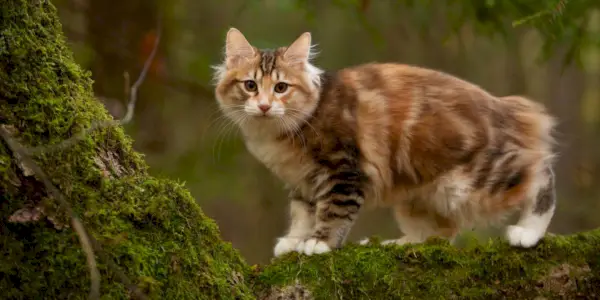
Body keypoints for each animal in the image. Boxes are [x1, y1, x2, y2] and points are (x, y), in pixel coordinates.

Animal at [212, 28, 556, 256]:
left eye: (281, 87)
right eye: (250, 86)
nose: (264, 106)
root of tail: (504, 106)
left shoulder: (343, 170)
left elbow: (332, 211)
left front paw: (319, 242)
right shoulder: (302, 181)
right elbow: (301, 214)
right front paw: (295, 240)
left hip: (473, 181)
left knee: (541, 174)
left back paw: (528, 232)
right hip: (418, 197)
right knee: (442, 232)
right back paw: (396, 244)